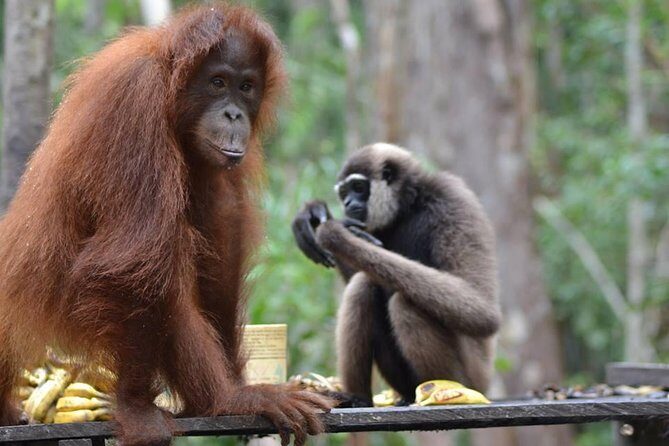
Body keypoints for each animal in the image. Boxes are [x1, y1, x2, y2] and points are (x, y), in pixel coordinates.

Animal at [0, 4, 332, 446]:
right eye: (217, 82)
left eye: (246, 87)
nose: (233, 113)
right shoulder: (135, 101)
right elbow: (131, 261)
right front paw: (137, 409)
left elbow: (220, 230)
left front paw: (237, 382)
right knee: (159, 270)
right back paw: (221, 399)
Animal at [292, 143, 501, 405]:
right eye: (344, 193)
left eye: (358, 187)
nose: (348, 203)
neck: (409, 206)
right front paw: (314, 215)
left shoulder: (452, 198)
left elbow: (482, 310)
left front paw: (337, 234)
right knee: (363, 285)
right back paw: (358, 398)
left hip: (473, 377)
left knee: (404, 303)